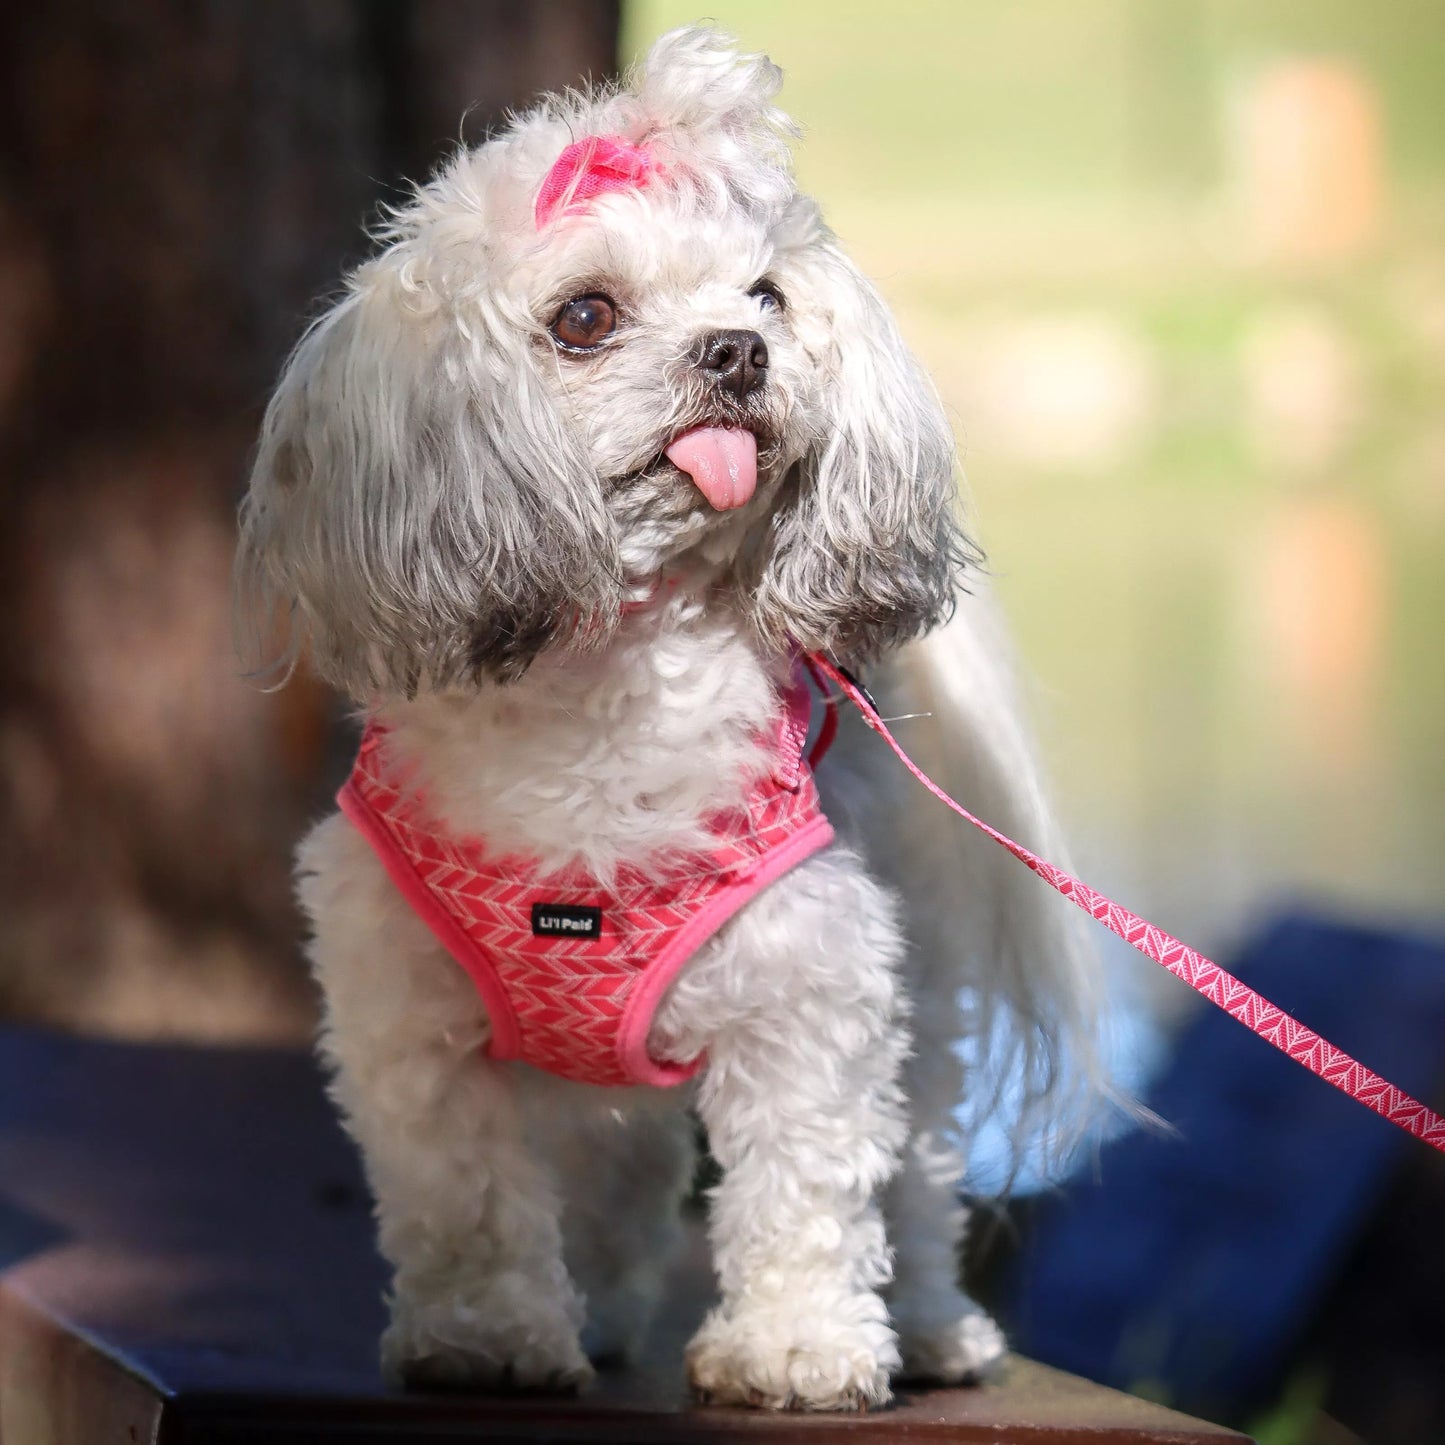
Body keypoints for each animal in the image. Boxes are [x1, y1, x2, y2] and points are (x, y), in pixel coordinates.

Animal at [239, 28, 1092, 1410]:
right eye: (583, 316)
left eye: (766, 296)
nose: (738, 351)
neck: (610, 691)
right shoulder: (406, 1012)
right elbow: (465, 1197)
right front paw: (484, 1337)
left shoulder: (808, 982)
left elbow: (806, 1181)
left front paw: (795, 1348)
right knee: (615, 1164)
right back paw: (594, 1309)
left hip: (918, 967)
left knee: (913, 1175)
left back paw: (930, 1326)